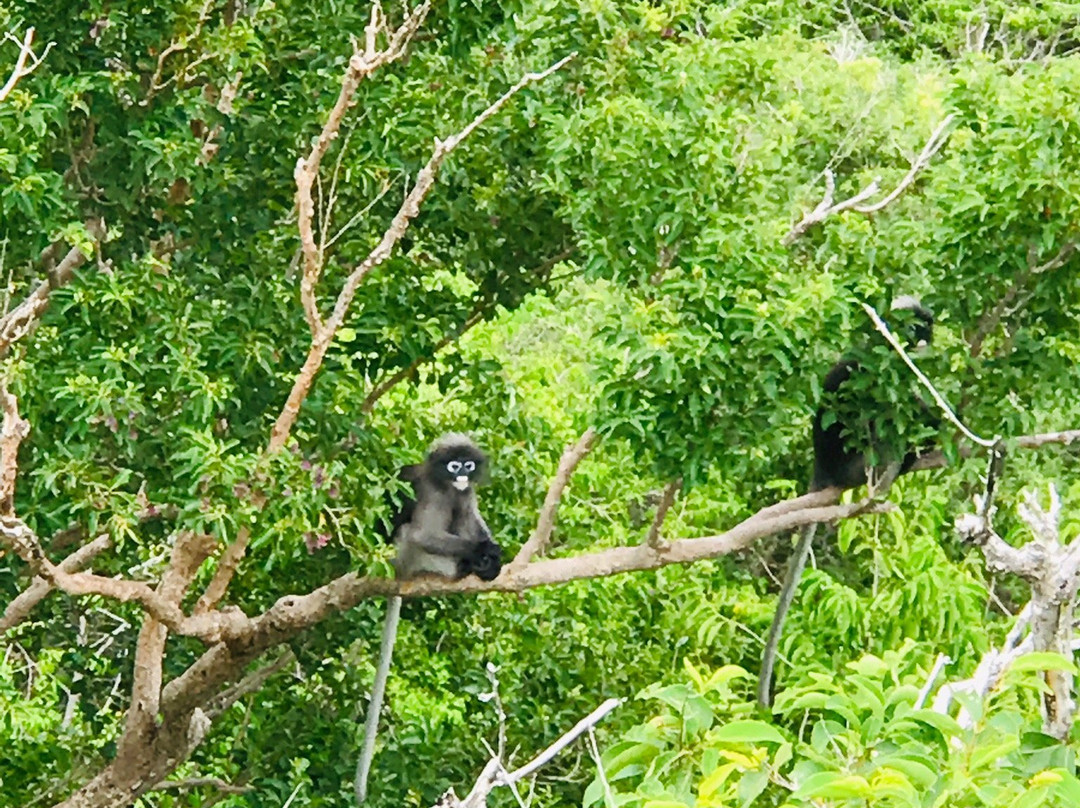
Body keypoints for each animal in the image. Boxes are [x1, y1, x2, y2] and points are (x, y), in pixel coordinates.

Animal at [760, 295, 937, 708]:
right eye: (919, 328)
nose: (927, 339)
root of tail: (824, 468)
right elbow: (889, 411)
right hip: (857, 463)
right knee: (875, 428)